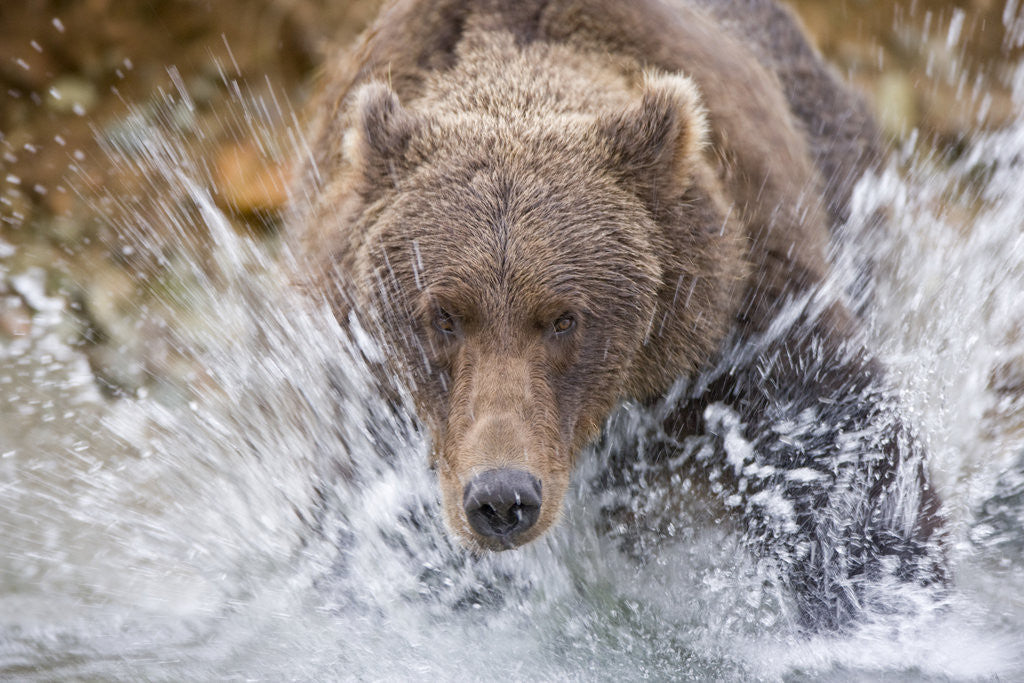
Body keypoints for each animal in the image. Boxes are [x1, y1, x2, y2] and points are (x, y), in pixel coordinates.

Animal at [292, 0, 945, 629]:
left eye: (563, 318)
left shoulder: (753, 316)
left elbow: (842, 458)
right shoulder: (372, 401)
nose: (502, 497)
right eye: (445, 316)